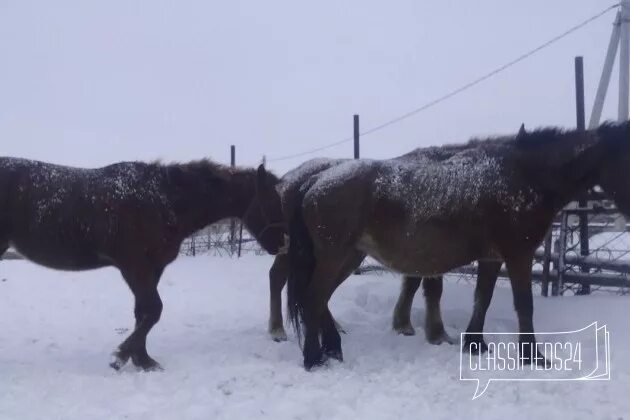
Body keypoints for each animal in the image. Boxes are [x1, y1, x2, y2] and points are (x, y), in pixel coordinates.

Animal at [0, 158, 284, 370]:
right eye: (273, 201)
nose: (283, 244)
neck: (163, 200)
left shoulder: (152, 270)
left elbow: (143, 314)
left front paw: (142, 360)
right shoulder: (136, 268)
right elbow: (153, 311)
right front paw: (120, 356)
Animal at [284, 122, 630, 370]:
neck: (524, 176)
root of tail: (315, 181)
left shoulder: (492, 258)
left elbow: (483, 299)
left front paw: (475, 345)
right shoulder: (518, 255)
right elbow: (524, 304)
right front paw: (533, 357)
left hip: (349, 257)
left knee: (318, 300)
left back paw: (332, 349)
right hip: (335, 256)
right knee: (314, 297)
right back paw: (314, 358)